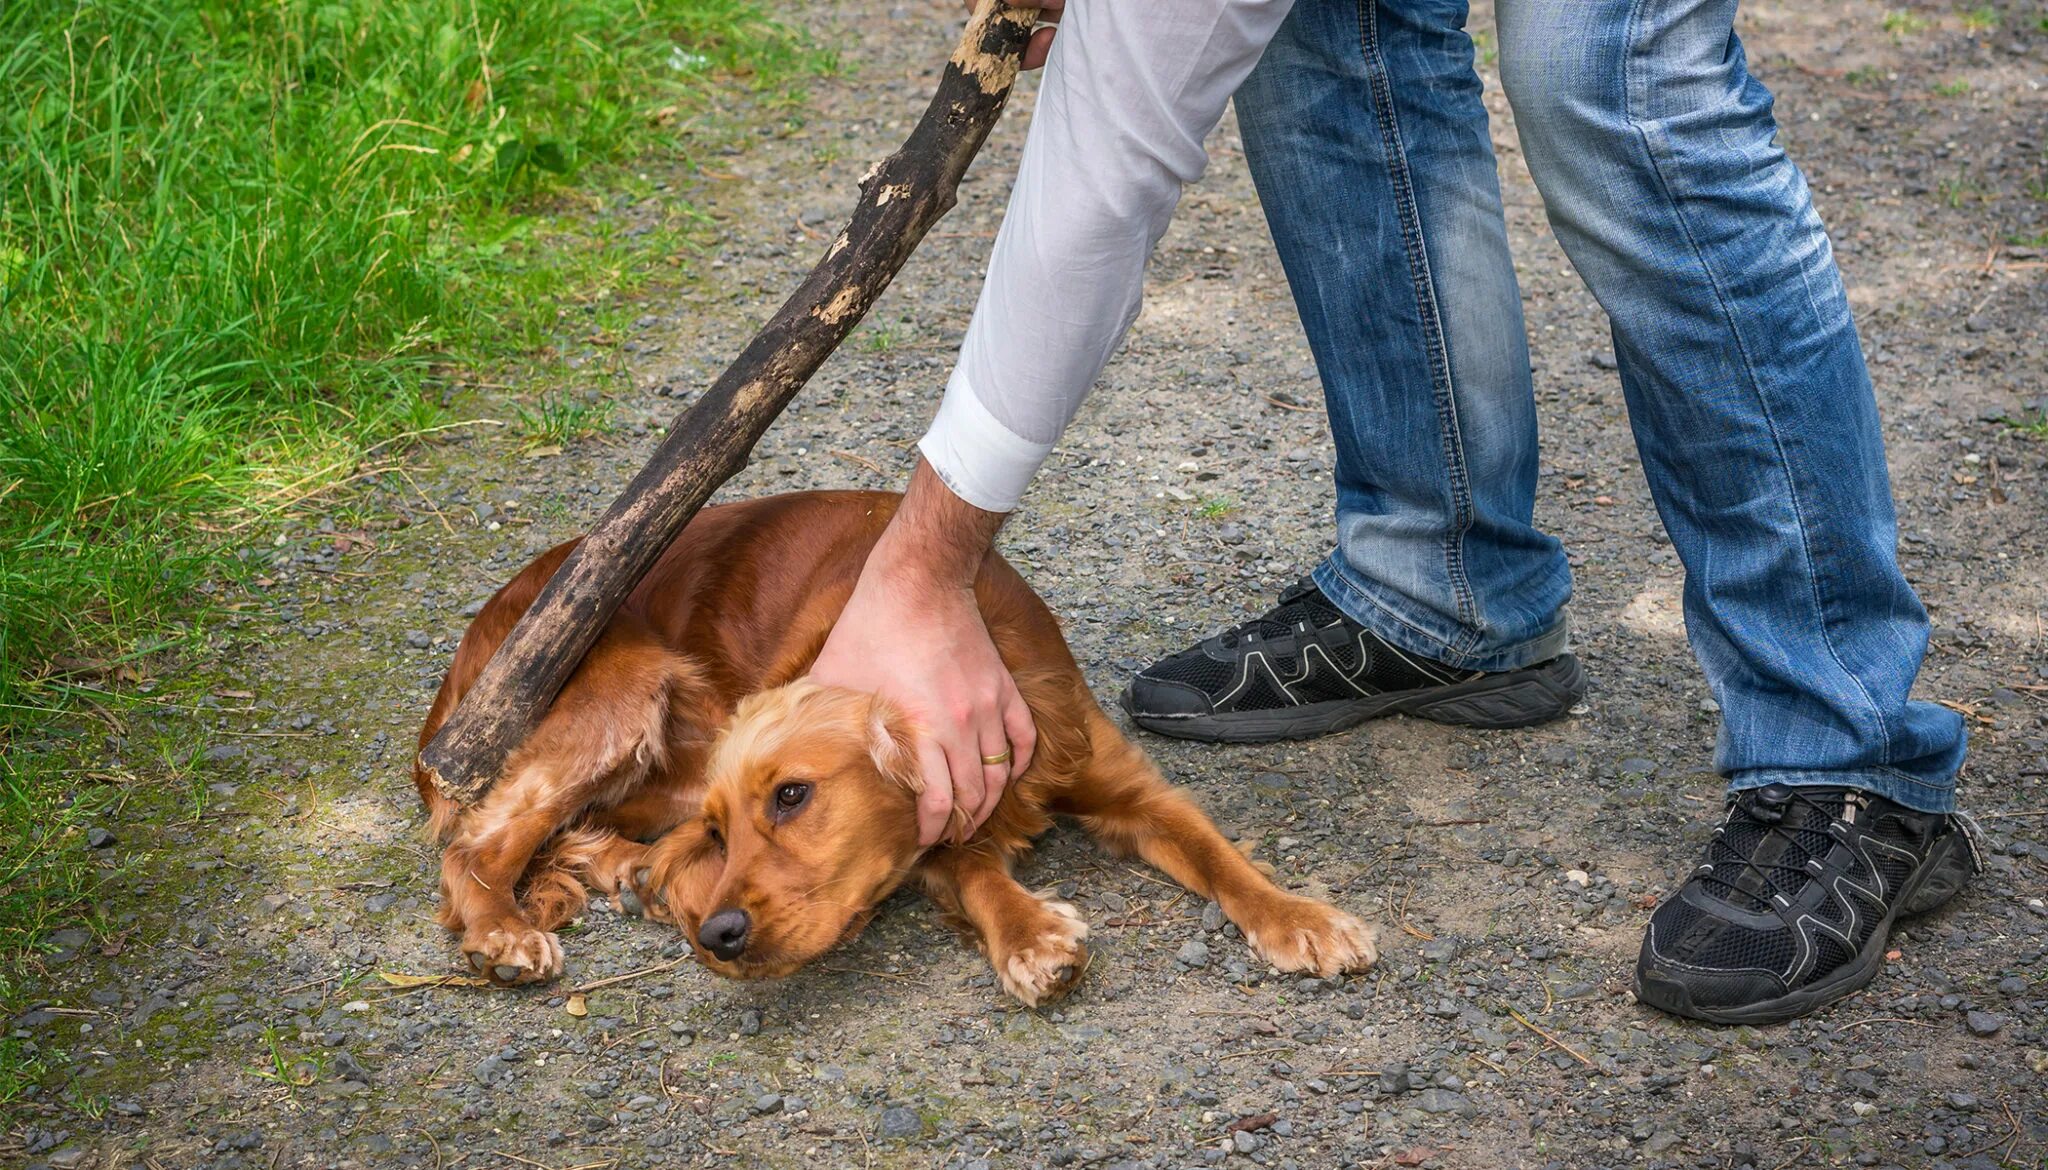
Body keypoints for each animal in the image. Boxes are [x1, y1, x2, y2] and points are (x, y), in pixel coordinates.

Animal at [415, 491, 1376, 1008]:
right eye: (729, 830)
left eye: (792, 796)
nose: (719, 936)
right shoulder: (935, 837)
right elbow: (980, 877)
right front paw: (1032, 937)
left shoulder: (1127, 786)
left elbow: (1220, 856)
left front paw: (1301, 917)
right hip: (621, 693)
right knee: (476, 844)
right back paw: (505, 932)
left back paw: (627, 876)